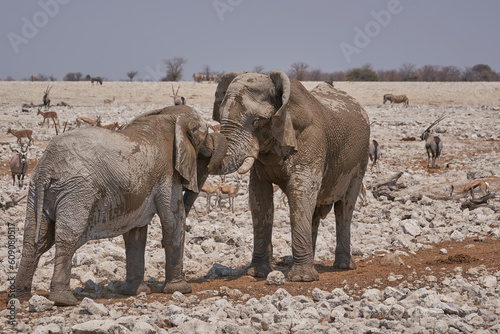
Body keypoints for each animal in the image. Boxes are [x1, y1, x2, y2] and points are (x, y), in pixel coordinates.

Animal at [15, 104, 227, 306]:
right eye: (206, 133)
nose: (212, 145)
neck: (170, 115)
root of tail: (46, 166)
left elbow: (135, 233)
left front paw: (135, 292)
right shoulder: (167, 173)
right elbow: (173, 220)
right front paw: (181, 290)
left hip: (36, 190)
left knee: (35, 239)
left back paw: (21, 297)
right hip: (78, 190)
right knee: (67, 237)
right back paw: (63, 300)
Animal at [211, 70, 372, 282]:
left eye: (256, 121)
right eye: (220, 117)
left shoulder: (311, 140)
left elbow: (300, 190)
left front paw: (301, 279)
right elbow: (259, 198)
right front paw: (258, 273)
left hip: (360, 161)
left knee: (344, 208)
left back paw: (343, 266)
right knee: (315, 212)